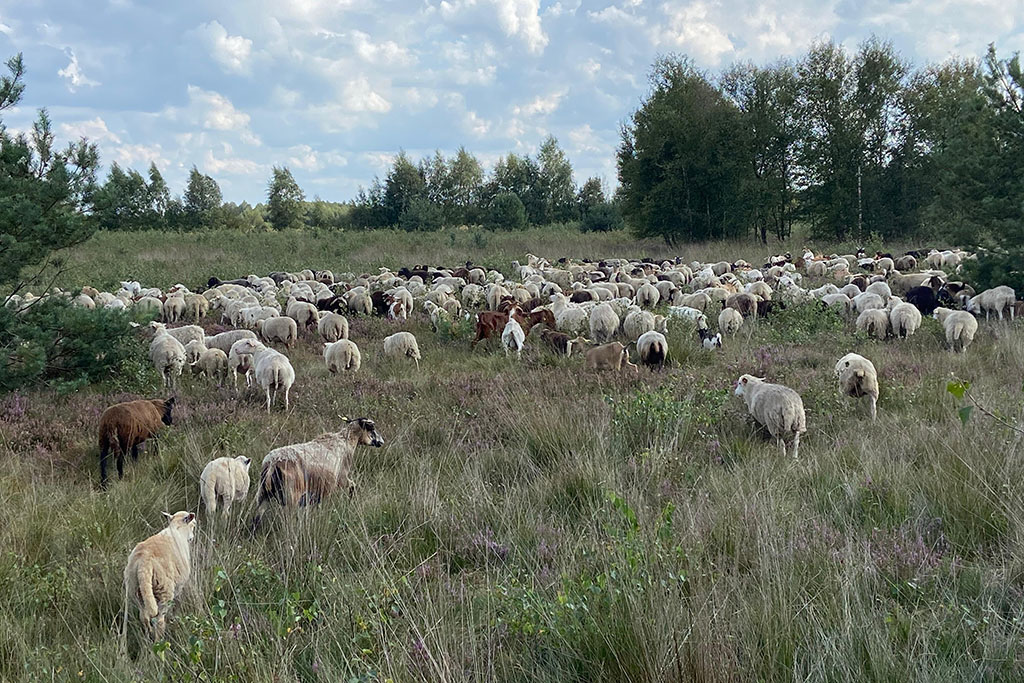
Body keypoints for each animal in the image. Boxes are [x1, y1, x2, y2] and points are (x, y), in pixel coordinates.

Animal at [121, 511, 196, 642]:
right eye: (193, 525)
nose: (192, 538)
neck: (177, 529)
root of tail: (144, 560)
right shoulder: (179, 586)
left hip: (135, 589)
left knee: (144, 617)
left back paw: (147, 638)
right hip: (164, 589)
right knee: (159, 620)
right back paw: (159, 641)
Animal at [253, 418, 384, 520]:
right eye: (372, 429)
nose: (381, 442)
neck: (346, 441)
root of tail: (272, 462)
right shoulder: (341, 478)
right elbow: (353, 486)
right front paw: (350, 503)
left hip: (263, 493)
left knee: (256, 518)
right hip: (291, 495)